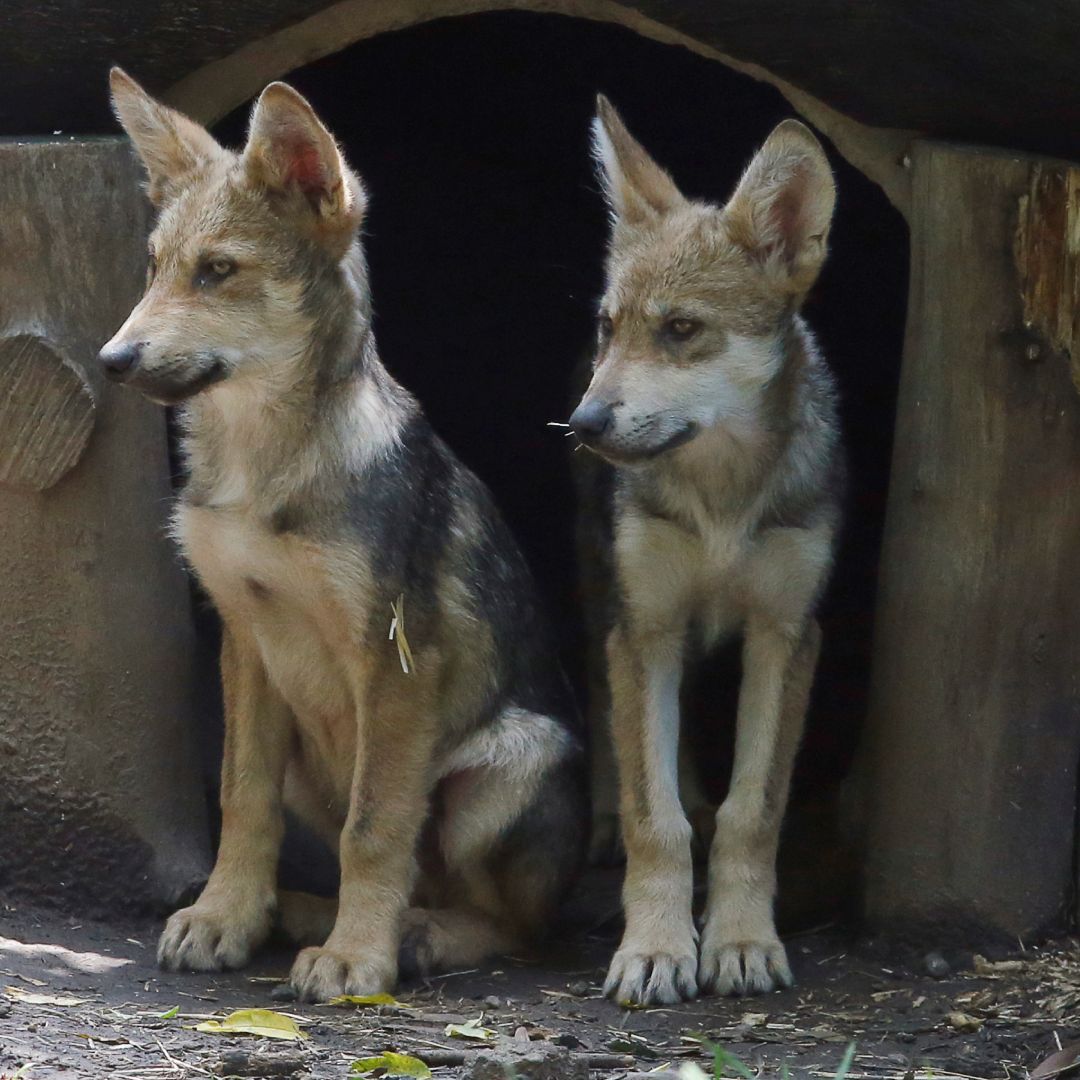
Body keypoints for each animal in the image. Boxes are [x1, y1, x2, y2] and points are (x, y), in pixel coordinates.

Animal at [98, 69, 587, 1002]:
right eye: (153, 268)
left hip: (510, 761)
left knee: (519, 924)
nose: (113, 360)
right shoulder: (246, 642)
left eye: (218, 272)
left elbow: (375, 827)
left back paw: (418, 936)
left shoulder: (396, 662)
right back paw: (300, 912)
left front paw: (359, 957)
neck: (259, 467)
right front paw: (226, 916)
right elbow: (241, 800)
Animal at [570, 97, 842, 1005]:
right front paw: (655, 949)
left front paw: (742, 942)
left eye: (682, 330)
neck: (722, 499)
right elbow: (655, 818)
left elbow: (748, 815)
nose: (582, 424)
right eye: (609, 328)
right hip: (608, 605)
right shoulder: (644, 629)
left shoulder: (786, 634)